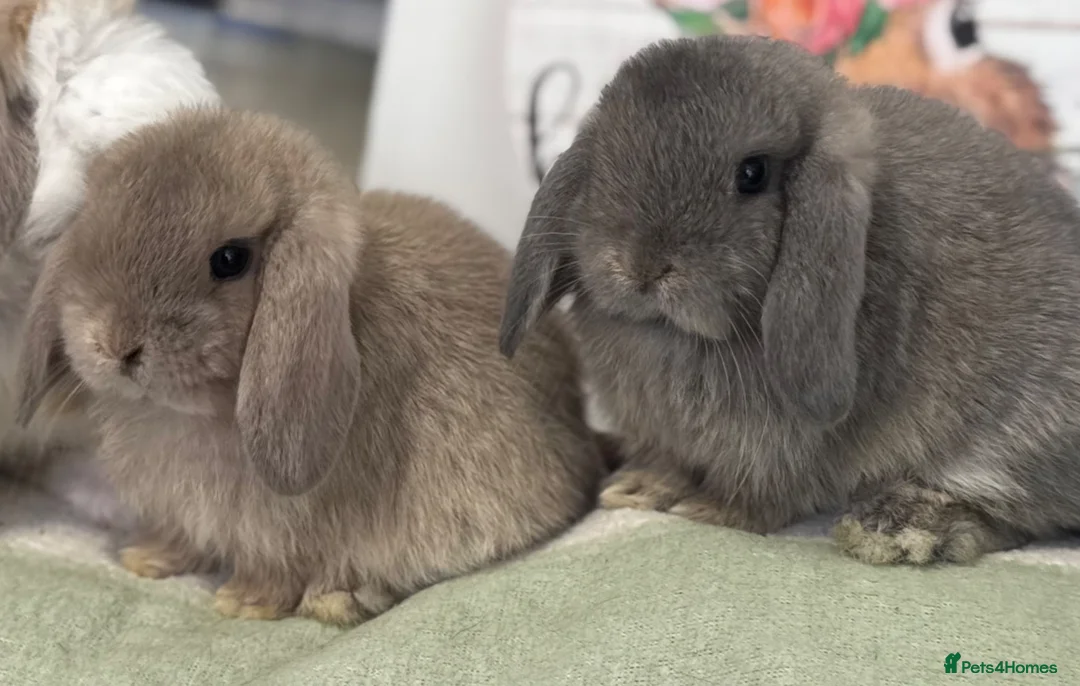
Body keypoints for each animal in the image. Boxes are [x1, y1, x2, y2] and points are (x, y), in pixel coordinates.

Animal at [15, 107, 604, 625]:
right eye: (91, 225)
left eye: (230, 259)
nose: (115, 345)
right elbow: (182, 536)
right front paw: (146, 560)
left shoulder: (282, 530)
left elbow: (278, 568)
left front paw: (244, 604)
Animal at [499, 34, 1080, 565]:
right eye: (603, 159)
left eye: (752, 173)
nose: (642, 267)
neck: (677, 334)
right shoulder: (663, 433)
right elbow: (670, 461)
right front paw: (638, 489)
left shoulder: (781, 447)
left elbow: (765, 493)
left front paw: (712, 511)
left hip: (1014, 436)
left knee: (1009, 517)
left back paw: (892, 529)